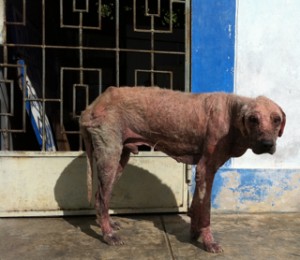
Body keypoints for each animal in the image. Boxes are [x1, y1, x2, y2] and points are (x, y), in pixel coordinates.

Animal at [79, 86, 286, 253]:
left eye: (276, 119)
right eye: (253, 119)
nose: (267, 144)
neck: (232, 115)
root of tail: (92, 106)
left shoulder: (203, 171)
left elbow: (196, 206)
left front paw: (195, 233)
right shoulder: (205, 168)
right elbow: (206, 211)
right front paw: (208, 243)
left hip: (120, 160)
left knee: (101, 196)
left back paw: (107, 223)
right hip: (109, 155)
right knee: (101, 196)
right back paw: (108, 235)